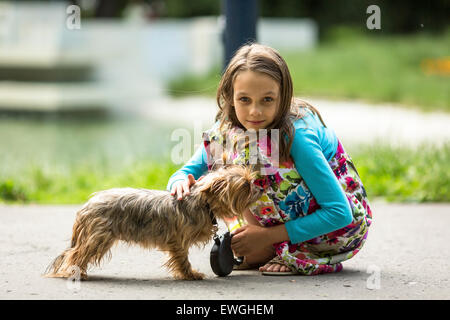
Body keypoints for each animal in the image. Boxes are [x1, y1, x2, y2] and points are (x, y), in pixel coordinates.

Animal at [44, 165, 262, 280]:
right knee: (75, 254)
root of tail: (86, 206)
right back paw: (73, 273)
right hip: (97, 237)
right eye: (245, 185)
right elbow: (182, 259)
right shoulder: (178, 240)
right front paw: (190, 274)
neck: (203, 203)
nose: (260, 188)